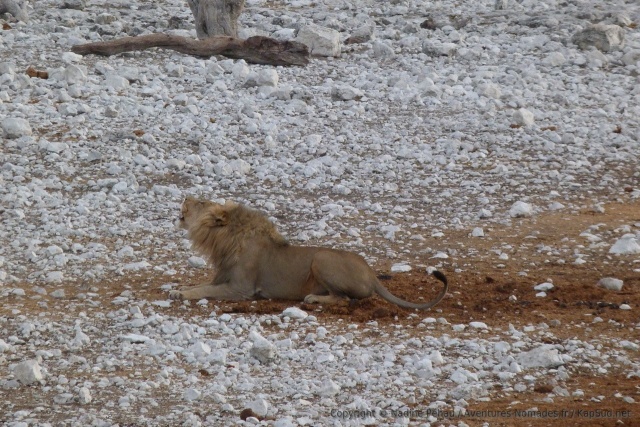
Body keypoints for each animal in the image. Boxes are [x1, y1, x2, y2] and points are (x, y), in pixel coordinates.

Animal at [169, 196, 448, 310]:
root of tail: (372, 274)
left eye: (201, 202)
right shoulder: (224, 278)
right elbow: (200, 284)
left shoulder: (240, 289)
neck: (223, 240)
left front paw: (182, 293)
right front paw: (178, 288)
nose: (186, 196)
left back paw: (314, 298)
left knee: (344, 299)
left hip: (322, 258)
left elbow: (204, 290)